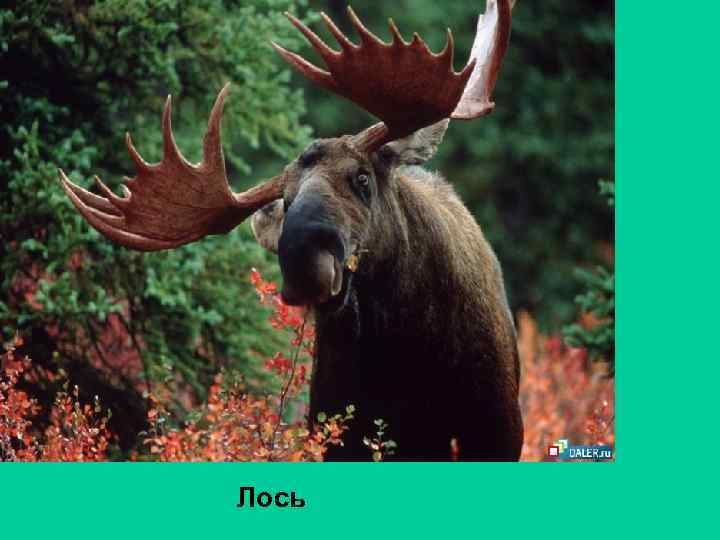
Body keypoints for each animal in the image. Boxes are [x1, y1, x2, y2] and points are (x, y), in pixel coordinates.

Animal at [58, 0, 523, 461]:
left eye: (363, 177)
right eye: (286, 199)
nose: (304, 263)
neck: (407, 354)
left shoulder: (498, 428)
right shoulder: (338, 431)